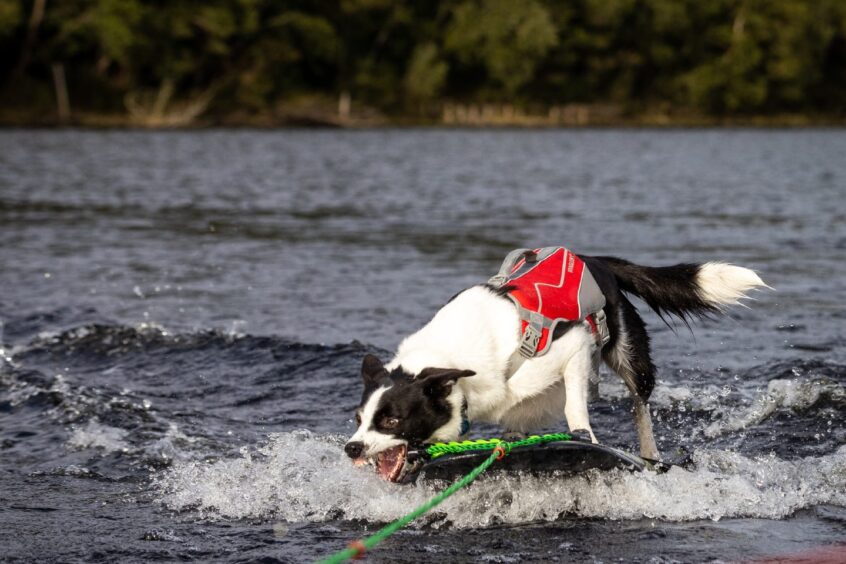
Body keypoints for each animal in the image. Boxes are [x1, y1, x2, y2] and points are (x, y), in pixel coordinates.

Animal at [344, 249, 768, 482]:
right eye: (358, 419)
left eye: (392, 420)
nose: (351, 448)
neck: (450, 359)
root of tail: (595, 261)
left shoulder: (574, 346)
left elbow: (576, 410)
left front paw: (584, 438)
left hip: (627, 351)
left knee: (640, 403)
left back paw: (650, 456)